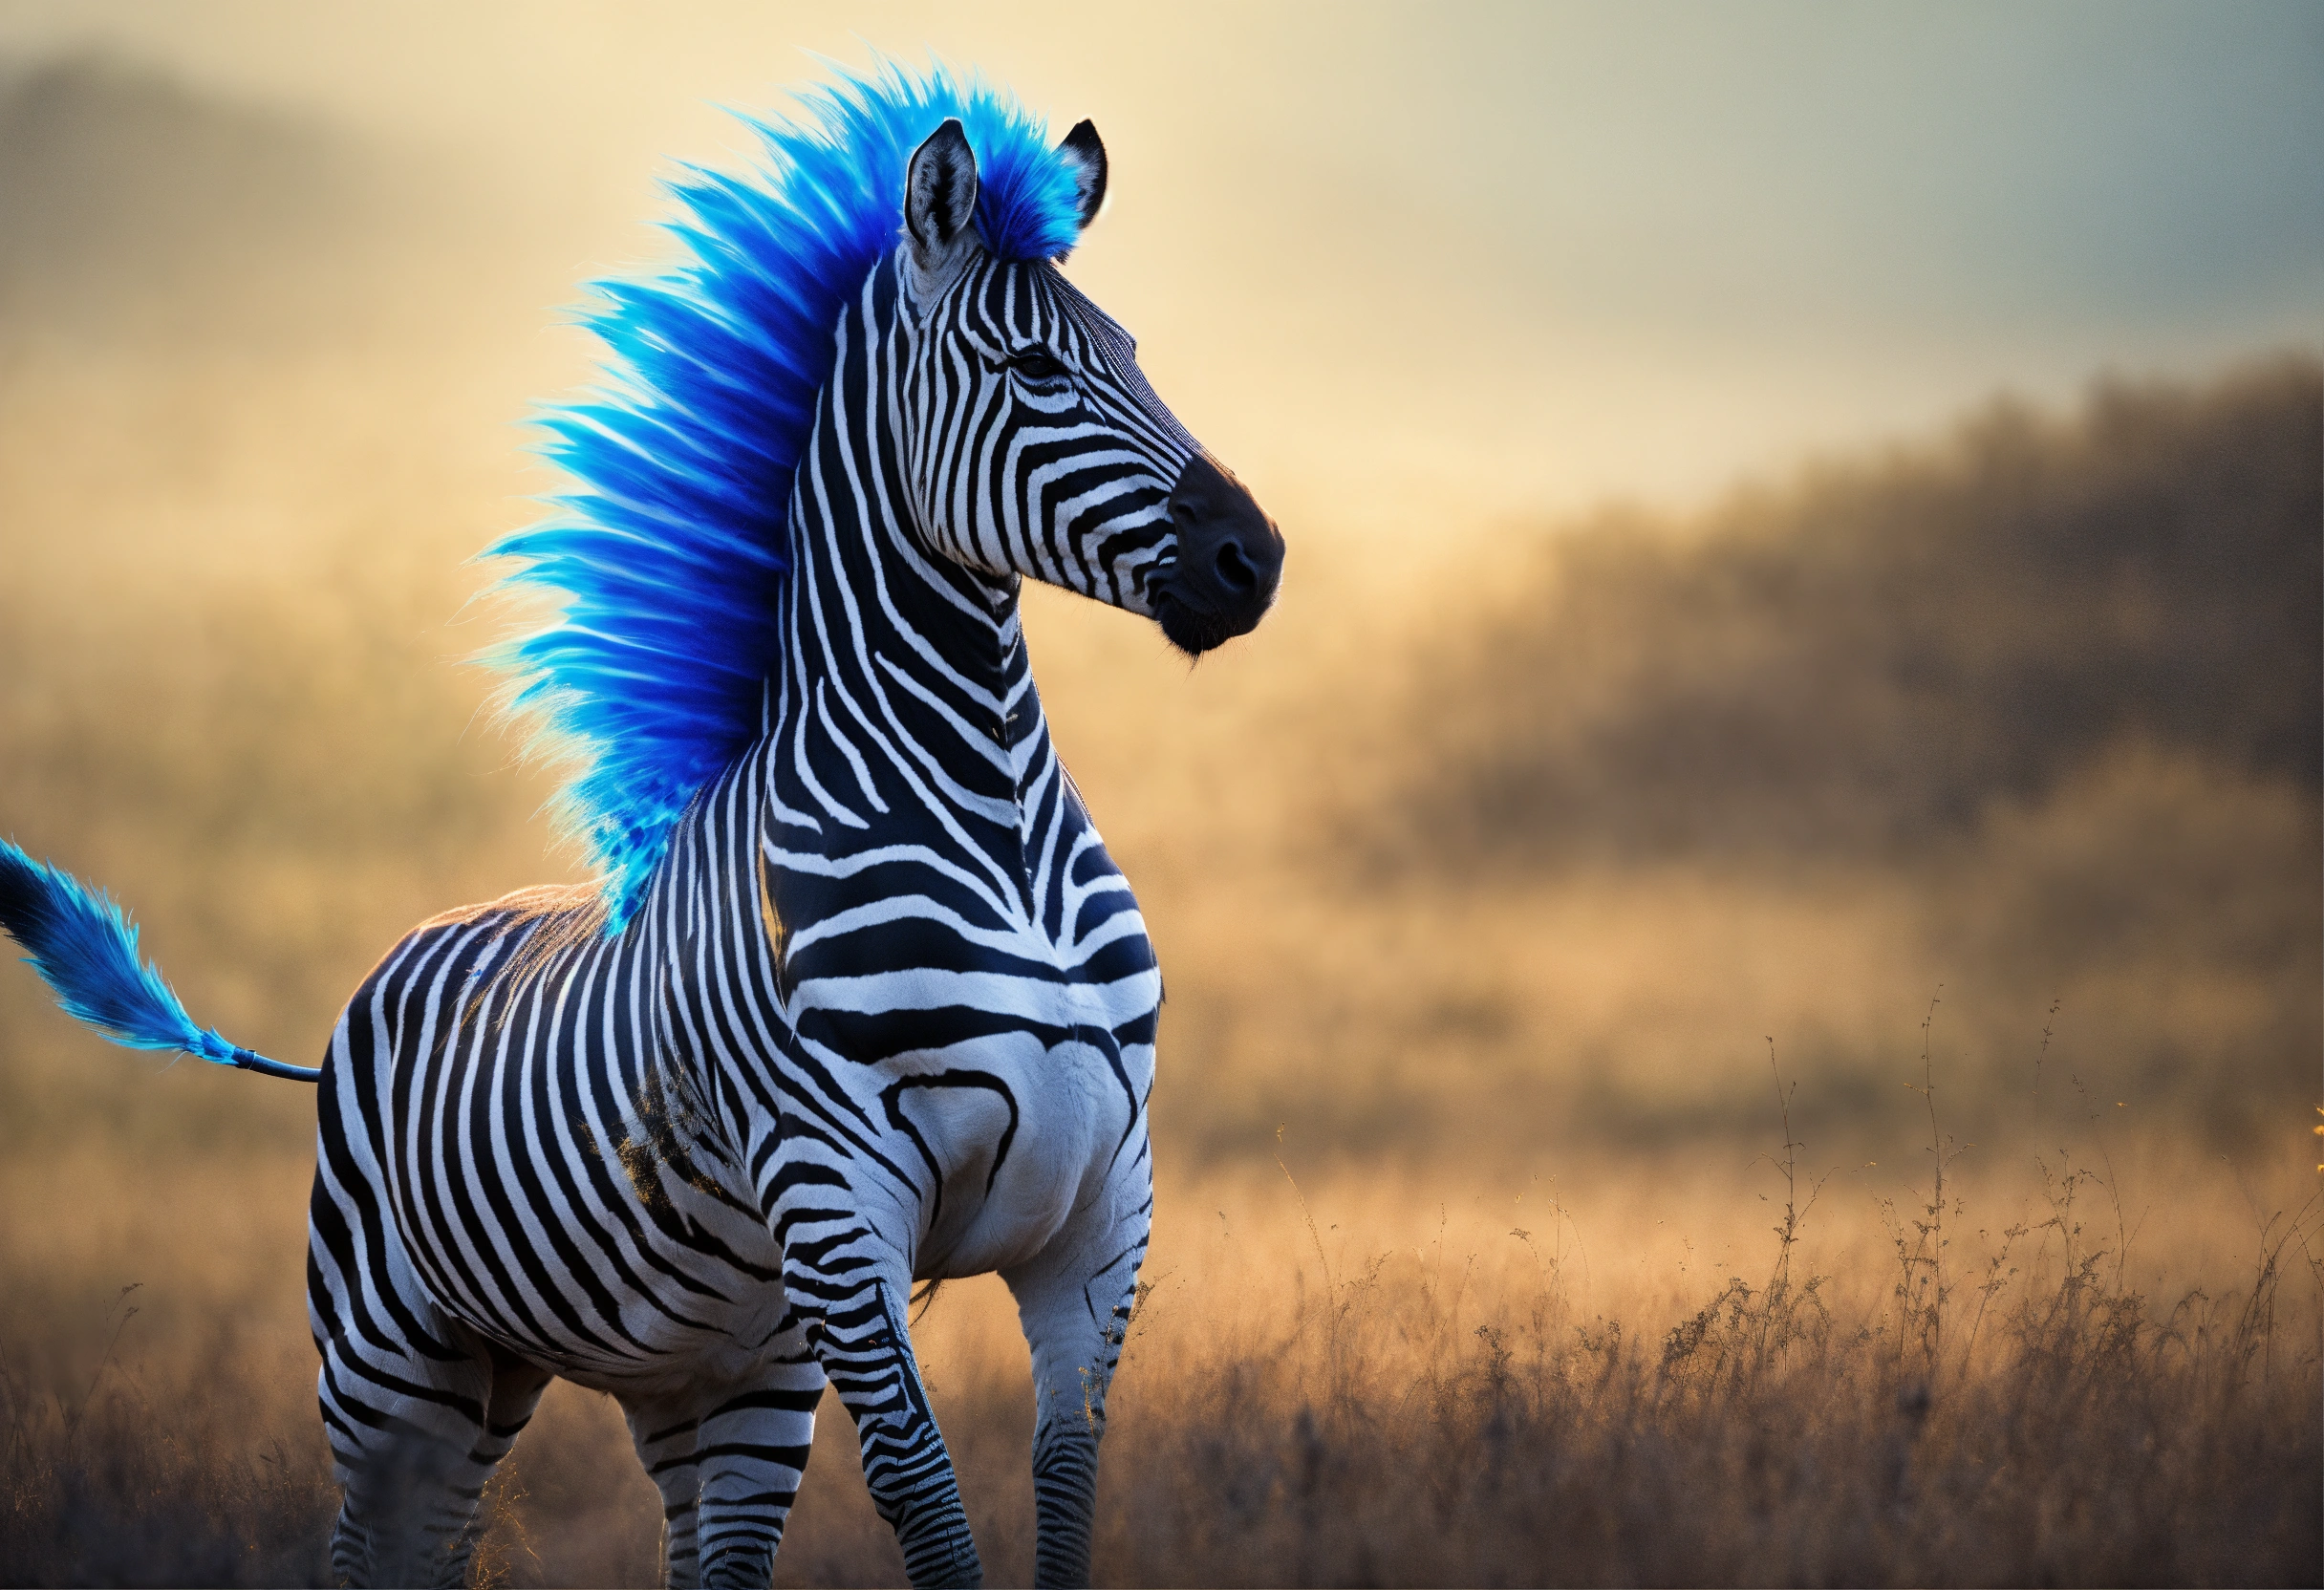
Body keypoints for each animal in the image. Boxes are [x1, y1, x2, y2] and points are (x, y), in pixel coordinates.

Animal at [0, 64, 1282, 1589]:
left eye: (1135, 355)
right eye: (1034, 370)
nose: (1254, 560)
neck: (998, 822)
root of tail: (390, 964)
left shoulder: (1098, 1212)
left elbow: (1068, 1488)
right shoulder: (842, 1205)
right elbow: (926, 1498)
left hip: (698, 1376)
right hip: (392, 1359)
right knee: (375, 1547)